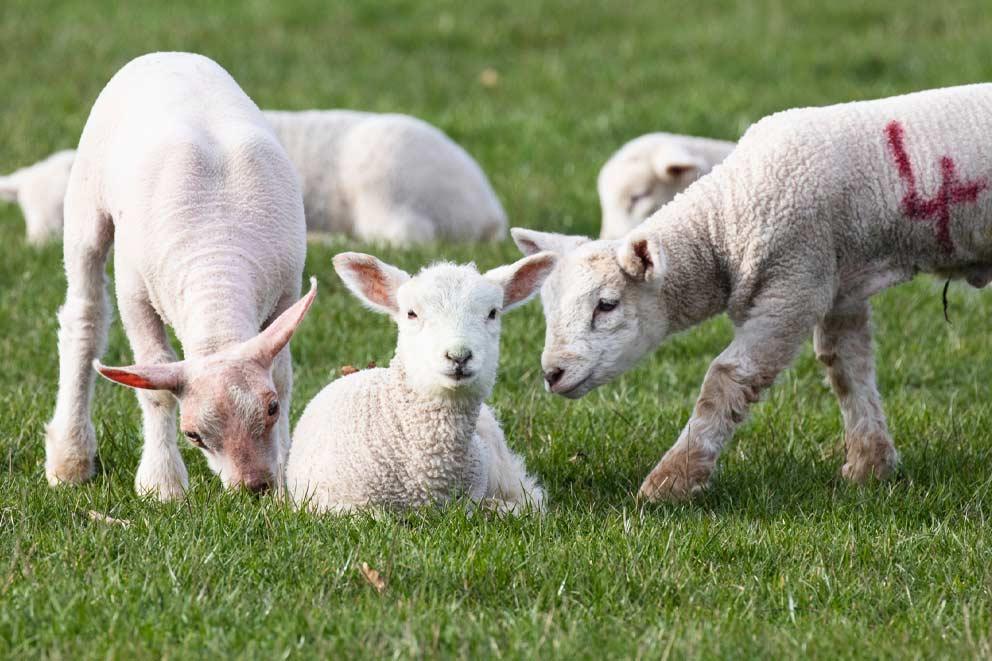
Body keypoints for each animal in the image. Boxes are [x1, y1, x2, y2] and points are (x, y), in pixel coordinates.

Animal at [44, 52, 312, 500]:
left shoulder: (288, 289)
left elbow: (284, 374)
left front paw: (287, 486)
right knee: (85, 318)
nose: (254, 488)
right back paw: (70, 458)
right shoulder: (135, 295)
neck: (217, 258)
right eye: (193, 436)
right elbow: (156, 388)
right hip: (85, 199)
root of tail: (167, 55)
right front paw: (162, 484)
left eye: (272, 408)